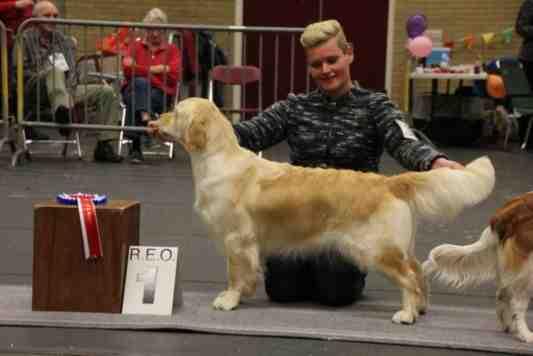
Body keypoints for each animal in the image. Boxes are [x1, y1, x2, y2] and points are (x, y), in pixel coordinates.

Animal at [149, 97, 494, 326]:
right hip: (400, 248)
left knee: (409, 278)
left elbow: (237, 274)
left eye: (175, 112)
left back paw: (407, 314)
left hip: (377, 250)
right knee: (419, 272)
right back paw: (420, 309)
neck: (217, 159)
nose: (151, 121)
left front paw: (230, 299)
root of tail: (390, 182)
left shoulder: (238, 239)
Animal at [424, 193, 532, 344]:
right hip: (529, 265)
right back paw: (525, 334)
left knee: (503, 294)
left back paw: (509, 326)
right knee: (517, 303)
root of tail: (504, 214)